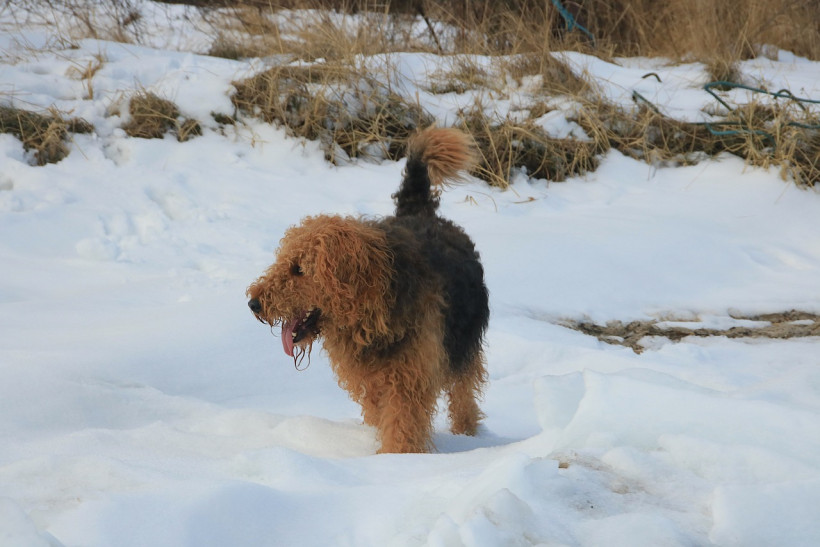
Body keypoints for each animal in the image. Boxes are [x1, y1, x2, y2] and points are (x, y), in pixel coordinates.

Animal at [247, 128, 490, 454]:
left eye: (299, 269)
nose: (254, 304)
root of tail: (420, 212)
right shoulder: (371, 381)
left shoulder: (408, 381)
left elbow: (401, 428)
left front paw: (396, 460)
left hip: (463, 346)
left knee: (464, 397)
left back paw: (468, 435)